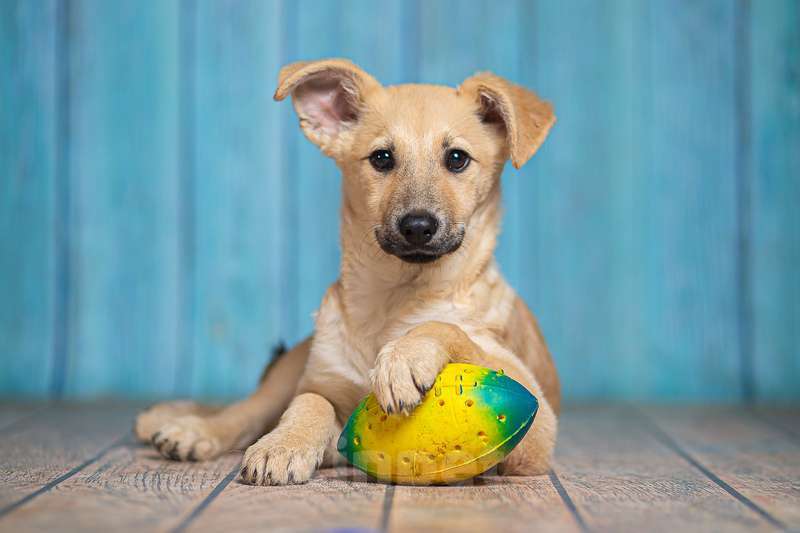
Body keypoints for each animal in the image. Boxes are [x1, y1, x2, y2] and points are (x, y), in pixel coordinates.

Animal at [134, 57, 560, 482]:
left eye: (457, 158)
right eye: (381, 158)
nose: (417, 226)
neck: (394, 300)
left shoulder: (536, 424)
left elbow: (449, 328)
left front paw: (403, 359)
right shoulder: (320, 385)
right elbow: (310, 401)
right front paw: (284, 444)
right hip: (286, 372)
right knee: (244, 412)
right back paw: (194, 430)